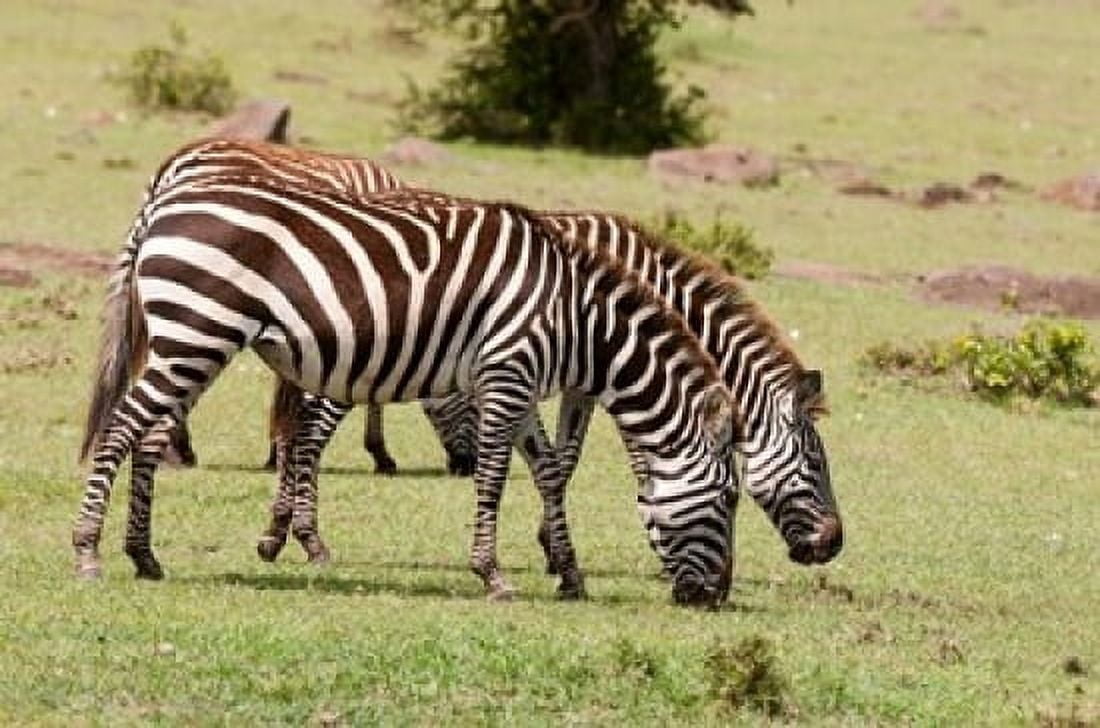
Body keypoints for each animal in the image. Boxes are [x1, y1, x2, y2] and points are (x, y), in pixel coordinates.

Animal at [75, 171, 740, 605]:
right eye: (729, 500)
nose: (717, 597)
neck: (576, 319)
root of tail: (161, 207)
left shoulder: (520, 384)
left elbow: (550, 472)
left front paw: (570, 573)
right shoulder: (506, 374)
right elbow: (494, 476)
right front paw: (492, 574)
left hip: (193, 341)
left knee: (148, 434)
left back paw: (144, 556)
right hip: (196, 331)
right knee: (121, 426)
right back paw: (88, 552)